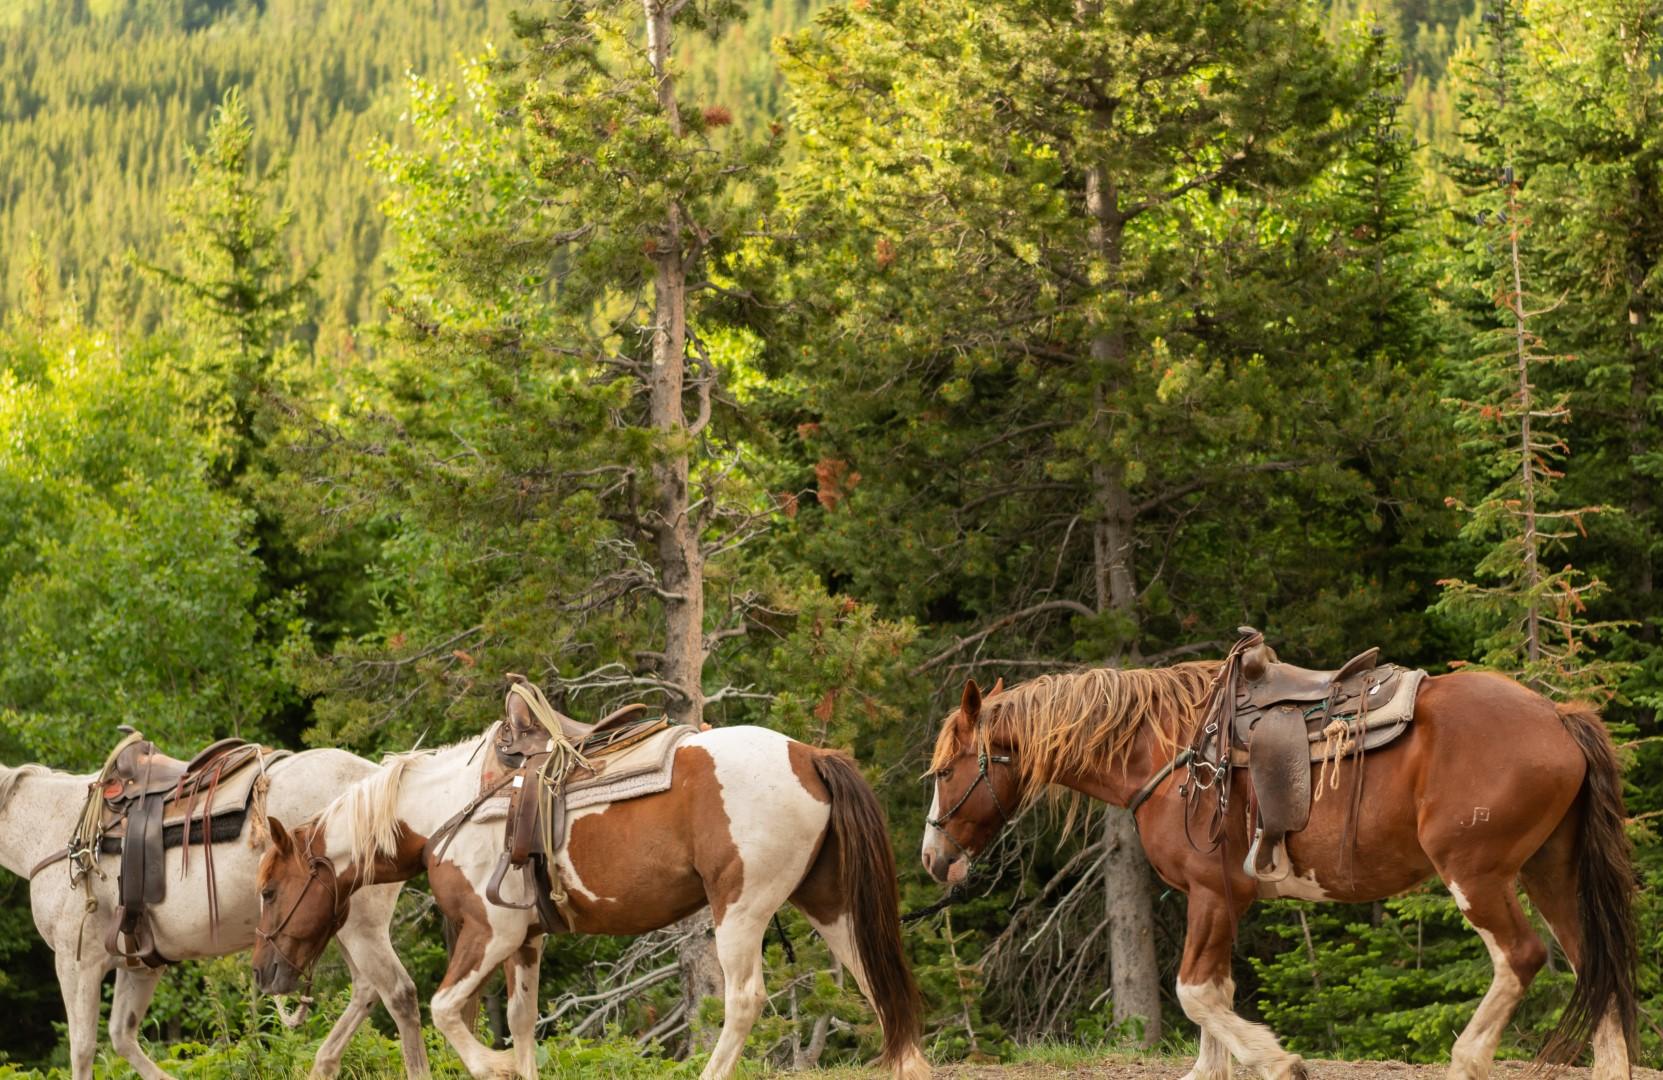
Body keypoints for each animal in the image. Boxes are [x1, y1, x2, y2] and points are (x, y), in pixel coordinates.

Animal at [1, 748, 429, 1078]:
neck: (52, 826)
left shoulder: (77, 962)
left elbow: (83, 1048)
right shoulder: (139, 964)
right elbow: (123, 1036)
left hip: (361, 929)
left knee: (398, 994)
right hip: (338, 928)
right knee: (366, 991)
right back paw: (322, 1065)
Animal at [252, 702, 931, 1071]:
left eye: (267, 890)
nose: (263, 973)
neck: (448, 808)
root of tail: (809, 754)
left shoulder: (489, 933)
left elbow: (447, 1011)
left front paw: (494, 1066)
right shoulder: (525, 942)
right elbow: (522, 1021)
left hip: (740, 910)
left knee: (744, 1002)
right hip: (828, 903)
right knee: (874, 980)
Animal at [924, 665, 1636, 1078]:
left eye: (945, 771)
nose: (933, 859)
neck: (1168, 754)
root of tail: (1557, 717)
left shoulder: (1214, 894)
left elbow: (1195, 993)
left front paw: (1279, 1059)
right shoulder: (1216, 903)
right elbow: (1213, 1003)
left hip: (1477, 874)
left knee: (1521, 958)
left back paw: (1465, 1061)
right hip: (1550, 873)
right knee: (1592, 966)